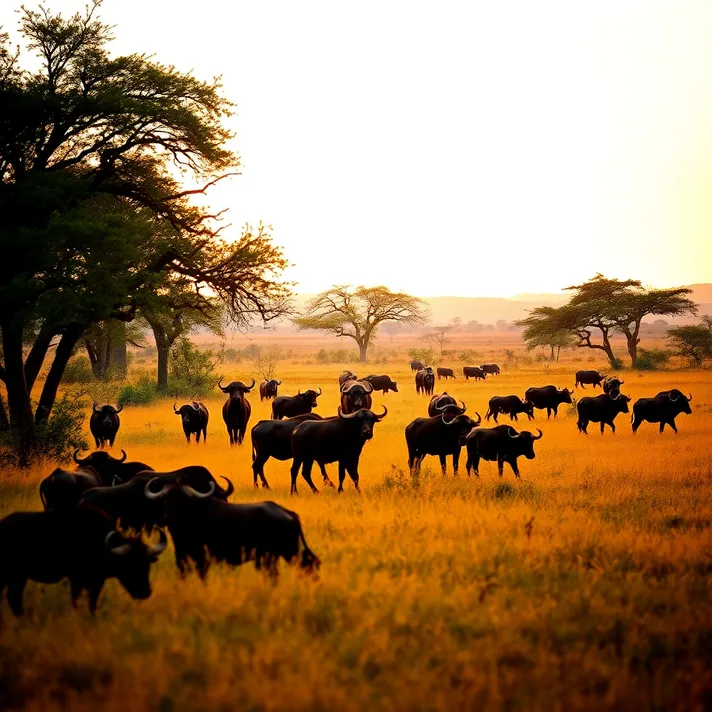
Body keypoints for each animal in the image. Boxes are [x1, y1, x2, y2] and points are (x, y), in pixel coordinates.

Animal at [0, 504, 167, 616]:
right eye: (129, 565)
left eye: (147, 564)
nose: (145, 592)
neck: (99, 542)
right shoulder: (76, 579)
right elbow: (75, 599)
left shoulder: (97, 581)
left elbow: (92, 602)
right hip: (14, 576)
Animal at [145, 484, 320, 580]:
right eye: (165, 500)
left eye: (184, 500)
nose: (168, 517)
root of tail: (287, 512)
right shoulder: (182, 559)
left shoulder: (202, 559)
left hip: (289, 552)